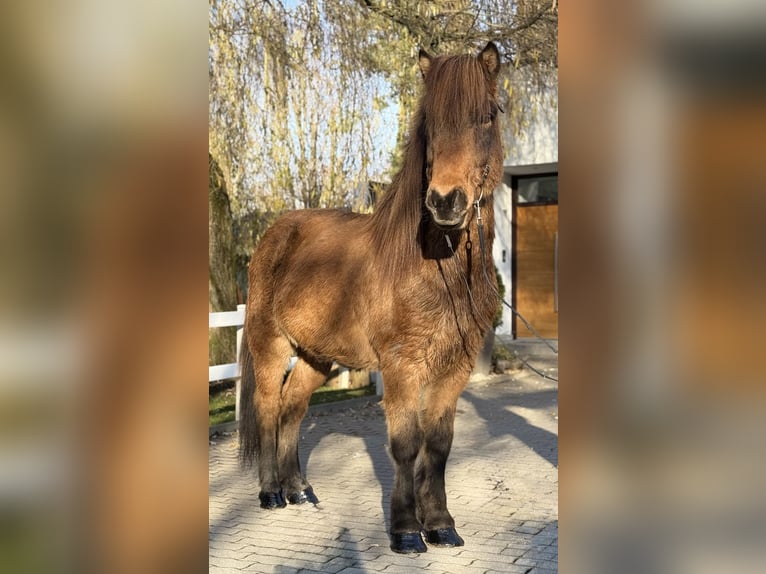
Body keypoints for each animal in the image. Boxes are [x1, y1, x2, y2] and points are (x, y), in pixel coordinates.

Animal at [239, 42, 504, 554]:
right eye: (431, 123)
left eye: (487, 115)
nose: (446, 201)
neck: (433, 267)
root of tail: (275, 232)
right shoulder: (402, 366)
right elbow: (404, 445)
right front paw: (405, 531)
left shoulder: (455, 369)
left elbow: (438, 446)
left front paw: (441, 525)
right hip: (270, 346)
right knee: (267, 407)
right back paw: (270, 493)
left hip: (316, 357)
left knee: (292, 407)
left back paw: (299, 489)